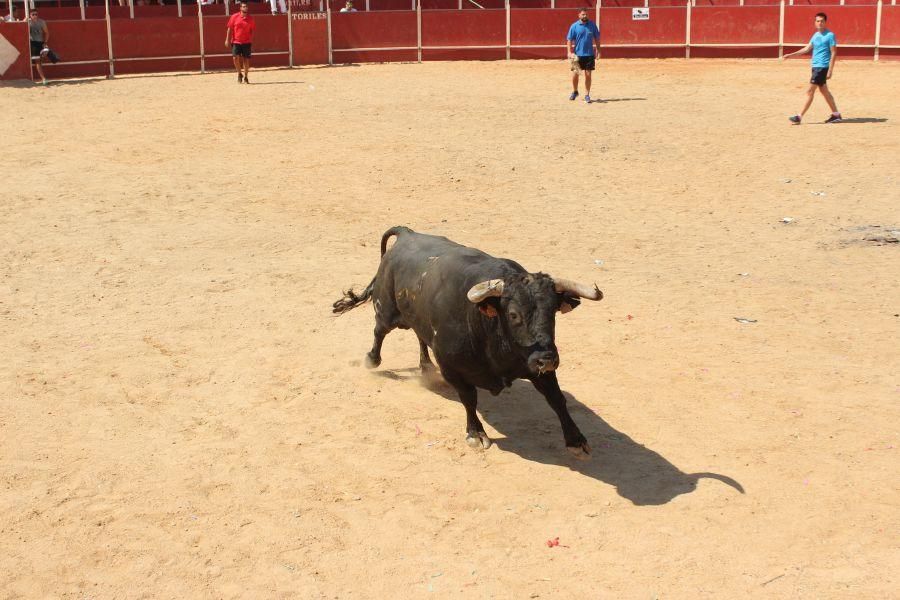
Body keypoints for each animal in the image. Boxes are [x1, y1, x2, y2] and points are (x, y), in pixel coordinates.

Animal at [332, 227, 604, 458]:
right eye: (513, 314)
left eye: (552, 312)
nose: (546, 359)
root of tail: (407, 233)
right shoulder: (453, 369)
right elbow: (469, 398)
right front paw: (476, 433)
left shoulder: (535, 367)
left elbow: (557, 399)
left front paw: (576, 440)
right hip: (387, 309)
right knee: (379, 331)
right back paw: (372, 360)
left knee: (419, 336)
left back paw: (425, 367)